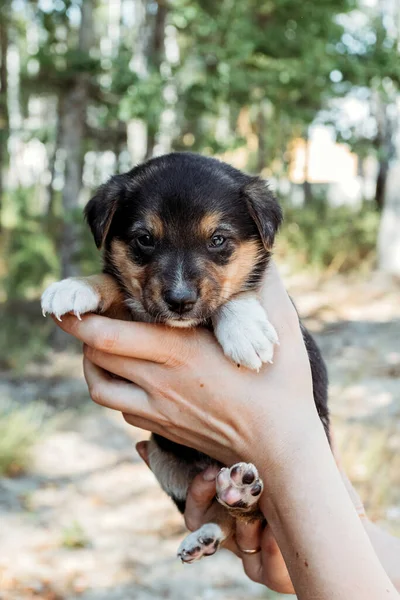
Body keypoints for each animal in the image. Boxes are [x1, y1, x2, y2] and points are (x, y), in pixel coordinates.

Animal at [41, 151, 328, 564]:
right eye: (144, 239)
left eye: (218, 240)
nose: (179, 301)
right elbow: (115, 283)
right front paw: (76, 287)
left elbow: (235, 293)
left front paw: (244, 328)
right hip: (161, 457)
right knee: (228, 517)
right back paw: (209, 529)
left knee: (257, 513)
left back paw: (239, 494)